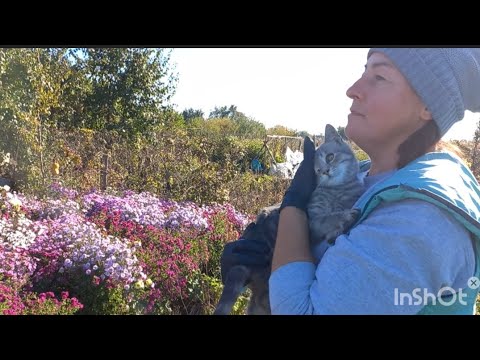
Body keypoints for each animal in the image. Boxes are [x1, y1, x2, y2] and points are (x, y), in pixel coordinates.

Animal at [214, 124, 364, 316]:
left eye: (330, 157)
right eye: (316, 171)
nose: (325, 171)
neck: (338, 192)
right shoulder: (310, 220)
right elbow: (326, 219)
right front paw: (343, 217)